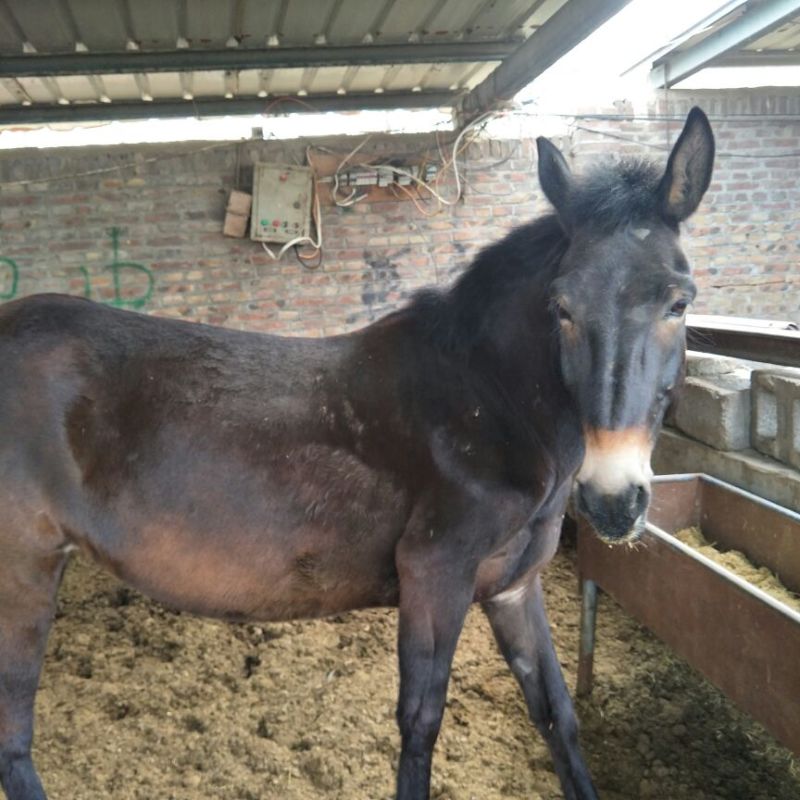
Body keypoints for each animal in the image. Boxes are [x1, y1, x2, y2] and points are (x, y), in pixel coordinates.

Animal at [0, 107, 714, 800]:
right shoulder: (434, 573)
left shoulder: (513, 588)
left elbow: (557, 714)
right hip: (22, 573)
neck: (485, 401)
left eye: (679, 302)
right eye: (560, 307)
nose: (614, 501)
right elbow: (420, 724)